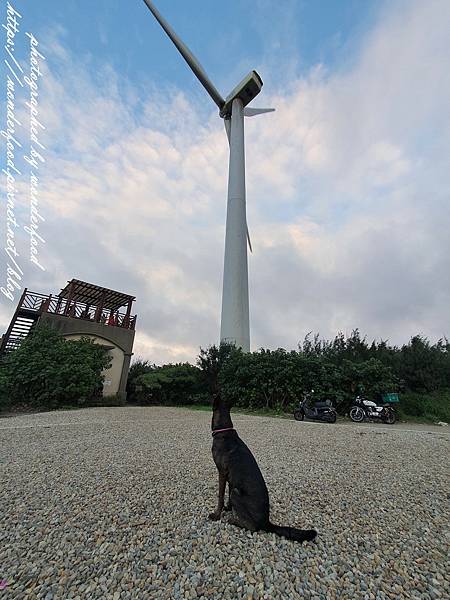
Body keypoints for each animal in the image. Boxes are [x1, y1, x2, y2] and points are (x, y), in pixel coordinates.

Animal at [208, 394, 316, 544]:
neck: (224, 431)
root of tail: (266, 523)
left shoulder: (222, 473)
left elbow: (221, 496)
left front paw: (217, 514)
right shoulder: (231, 478)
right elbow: (227, 496)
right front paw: (228, 508)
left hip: (237, 493)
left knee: (253, 527)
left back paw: (234, 520)